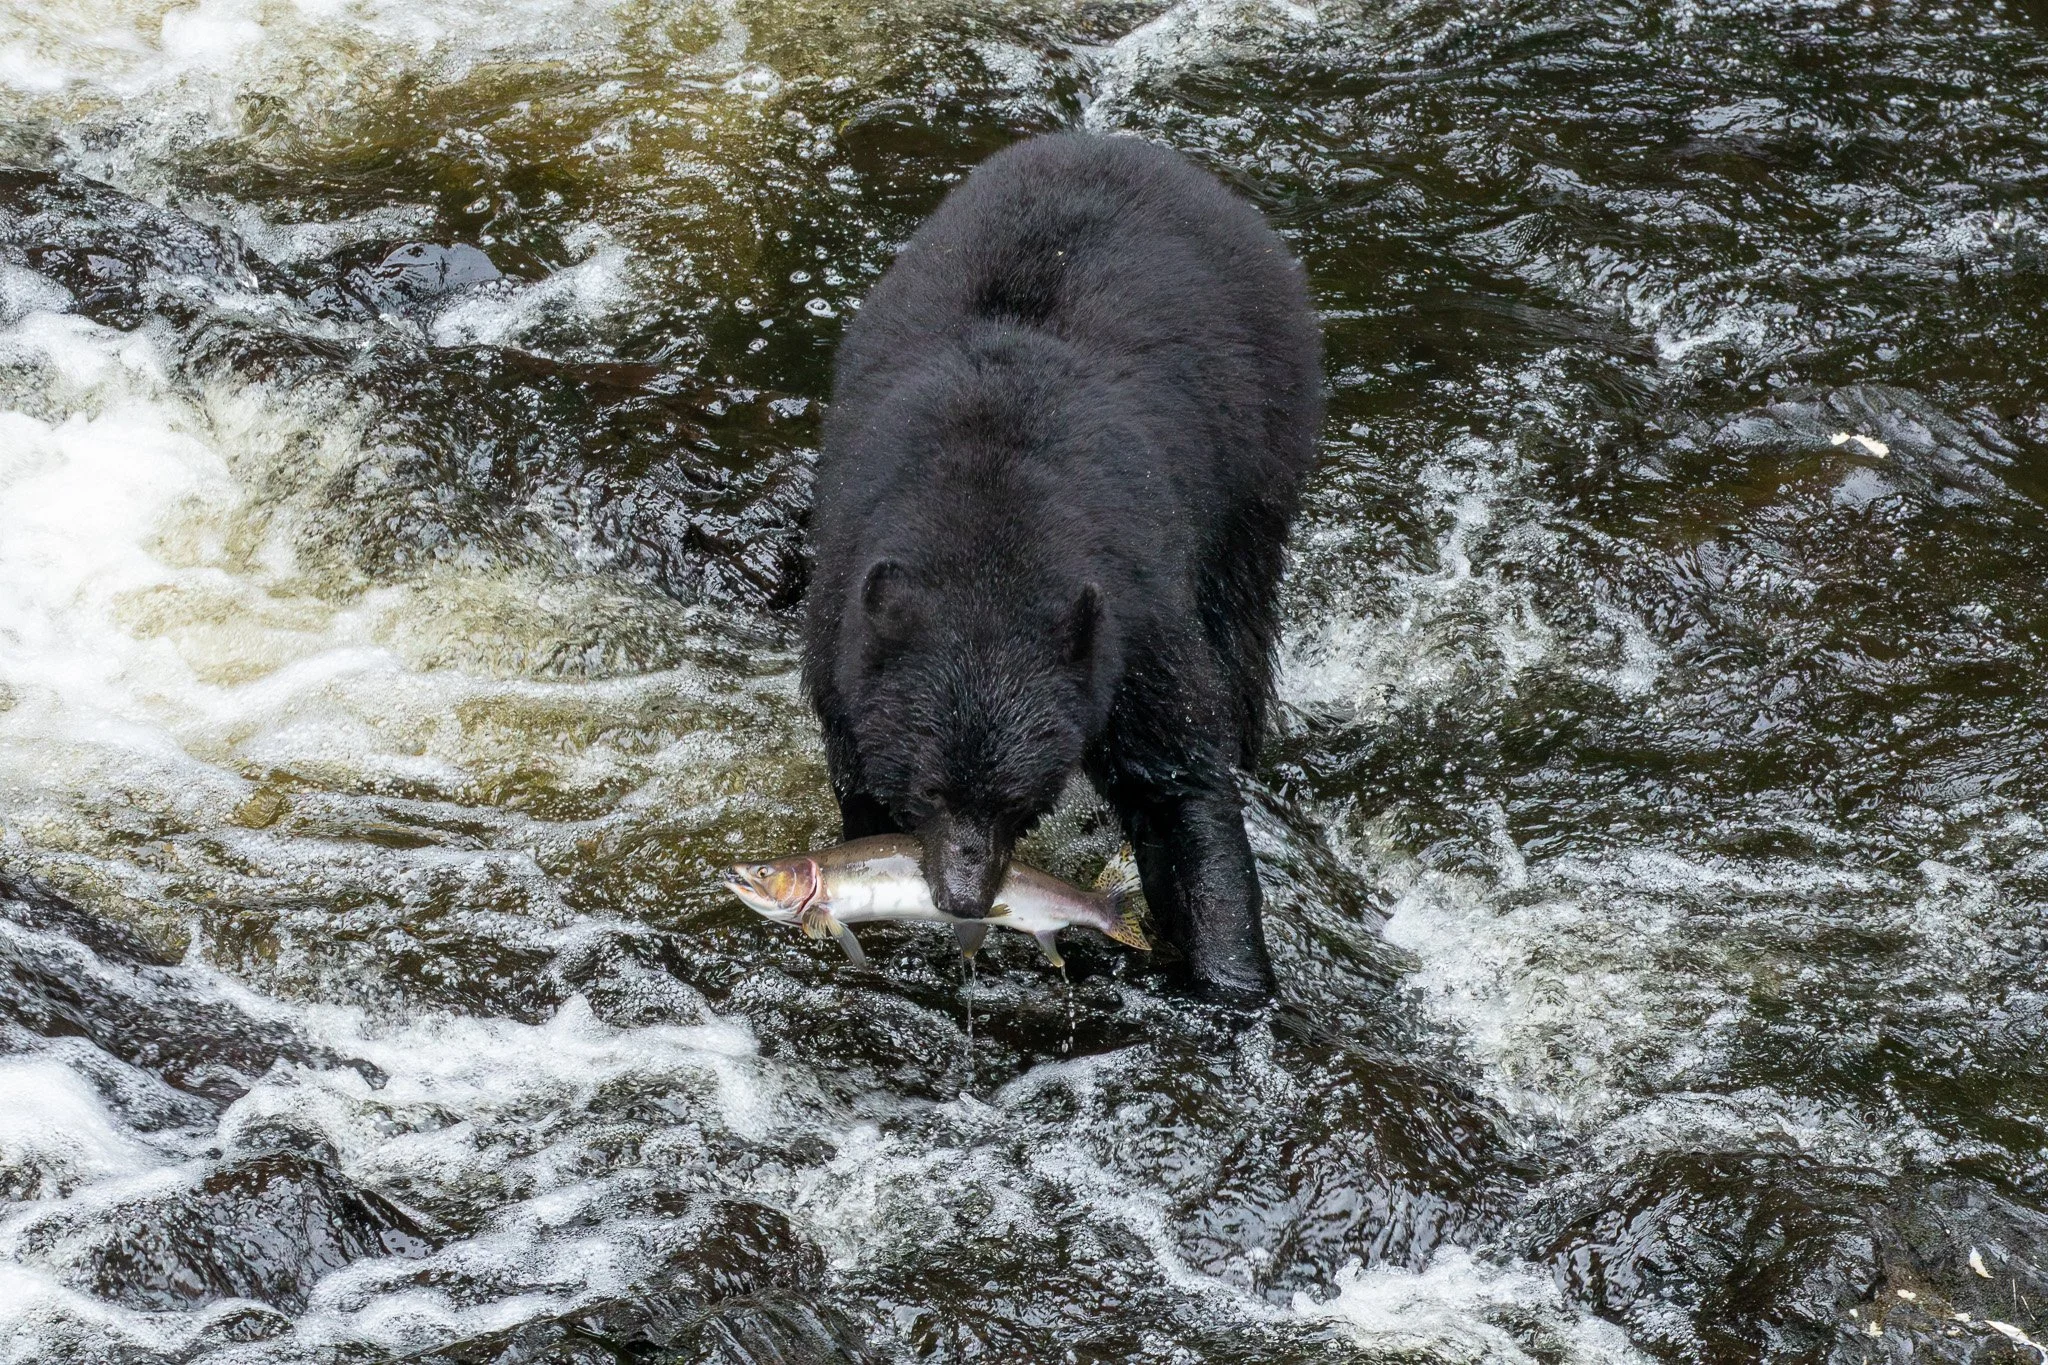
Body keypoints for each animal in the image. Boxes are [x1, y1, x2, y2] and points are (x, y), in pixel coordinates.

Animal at [801, 132, 1323, 1002]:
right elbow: (862, 778)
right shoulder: (844, 625)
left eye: (1016, 797)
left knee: (1242, 633)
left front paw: (1234, 978)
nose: (962, 895)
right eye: (930, 786)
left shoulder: (1133, 621)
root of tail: (1118, 144)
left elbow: (1179, 783)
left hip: (1259, 462)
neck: (988, 530)